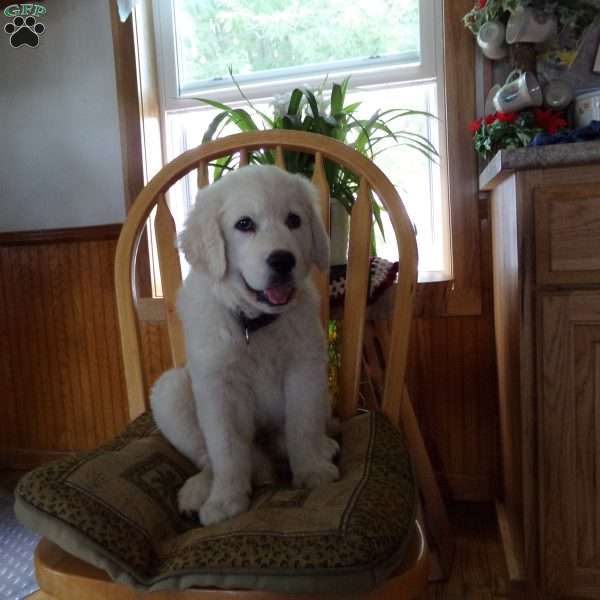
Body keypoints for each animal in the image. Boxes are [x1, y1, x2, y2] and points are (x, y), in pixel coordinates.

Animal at [150, 164, 340, 524]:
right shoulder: (217, 386)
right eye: (244, 224)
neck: (255, 323)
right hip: (170, 391)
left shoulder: (305, 368)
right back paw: (200, 490)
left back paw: (322, 448)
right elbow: (226, 450)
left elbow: (303, 425)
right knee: (208, 457)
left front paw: (312, 470)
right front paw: (226, 500)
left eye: (293, 220)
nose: (282, 260)